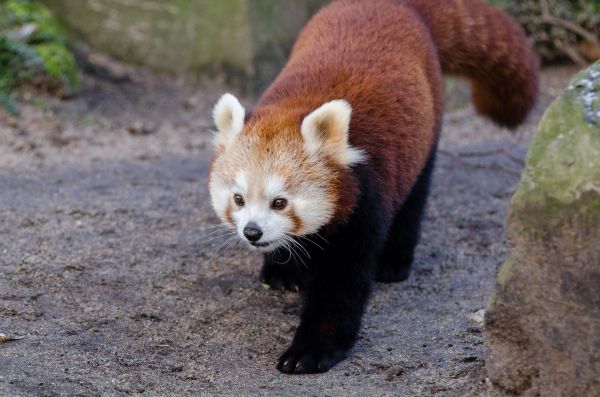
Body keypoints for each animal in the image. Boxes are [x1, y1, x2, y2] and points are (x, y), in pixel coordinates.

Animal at [207, 0, 540, 372]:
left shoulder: (365, 196)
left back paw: (394, 262)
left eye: (280, 202)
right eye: (238, 199)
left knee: (414, 200)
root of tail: (397, 5)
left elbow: (341, 285)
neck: (295, 106)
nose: (252, 232)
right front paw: (282, 267)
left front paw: (311, 350)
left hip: (425, 132)